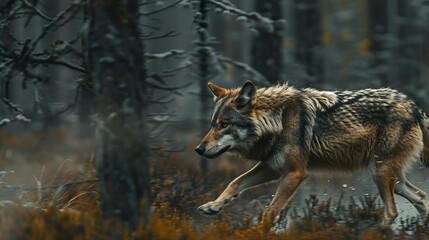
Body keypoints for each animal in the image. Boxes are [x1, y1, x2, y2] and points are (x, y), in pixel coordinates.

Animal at [195, 80, 428, 227]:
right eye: (213, 124)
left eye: (225, 125)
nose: (199, 149)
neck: (279, 119)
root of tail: (414, 106)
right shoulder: (271, 167)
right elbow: (235, 183)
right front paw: (213, 206)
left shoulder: (295, 173)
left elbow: (270, 212)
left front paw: (256, 232)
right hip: (391, 179)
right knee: (421, 197)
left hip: (379, 172)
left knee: (392, 211)